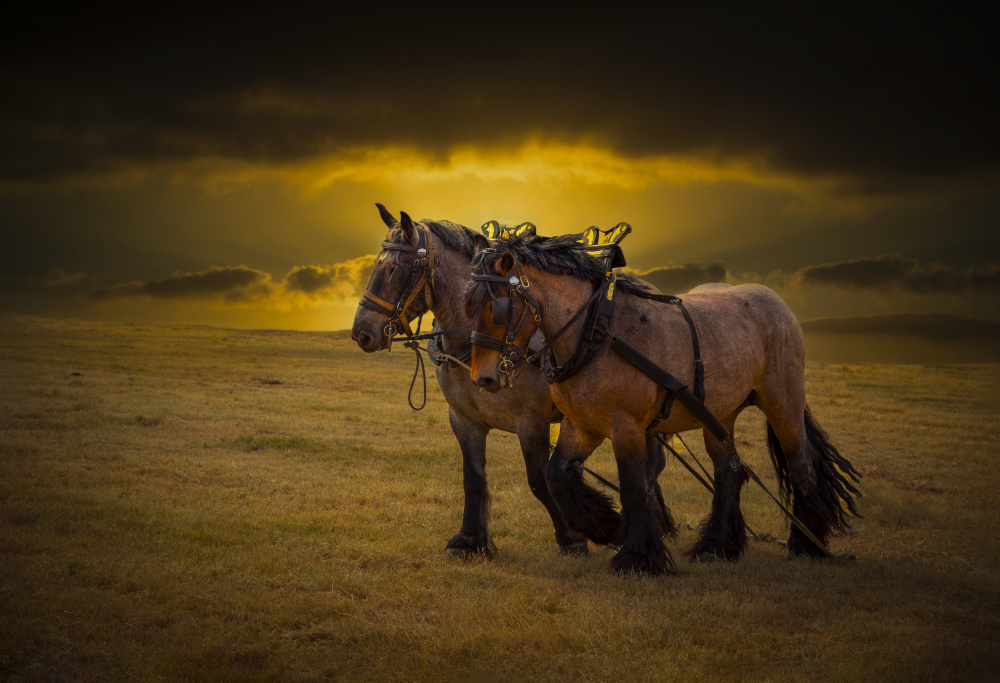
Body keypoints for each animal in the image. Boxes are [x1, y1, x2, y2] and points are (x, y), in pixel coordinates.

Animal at [354, 206, 680, 560]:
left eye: (395, 269)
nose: (361, 333)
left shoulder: (532, 421)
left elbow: (538, 480)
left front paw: (573, 537)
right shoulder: (464, 420)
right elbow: (473, 478)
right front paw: (470, 539)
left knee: (650, 465)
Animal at [464, 235, 864, 576]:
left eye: (497, 307)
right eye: (468, 306)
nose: (482, 378)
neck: (595, 332)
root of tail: (779, 303)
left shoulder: (626, 426)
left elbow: (633, 487)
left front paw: (639, 557)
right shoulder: (582, 426)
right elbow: (557, 475)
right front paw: (611, 528)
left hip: (783, 402)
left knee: (801, 467)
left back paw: (805, 545)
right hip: (720, 414)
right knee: (729, 473)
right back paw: (716, 546)